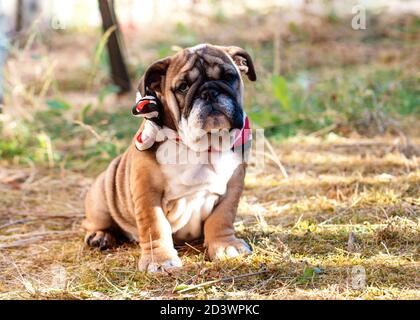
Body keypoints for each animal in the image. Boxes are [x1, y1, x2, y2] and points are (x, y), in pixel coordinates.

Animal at [83, 43, 256, 272]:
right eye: (183, 87)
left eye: (228, 77)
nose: (209, 92)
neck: (202, 146)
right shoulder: (148, 194)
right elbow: (155, 226)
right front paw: (159, 260)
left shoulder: (233, 187)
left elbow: (222, 218)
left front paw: (226, 245)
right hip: (101, 195)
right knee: (95, 221)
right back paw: (100, 235)